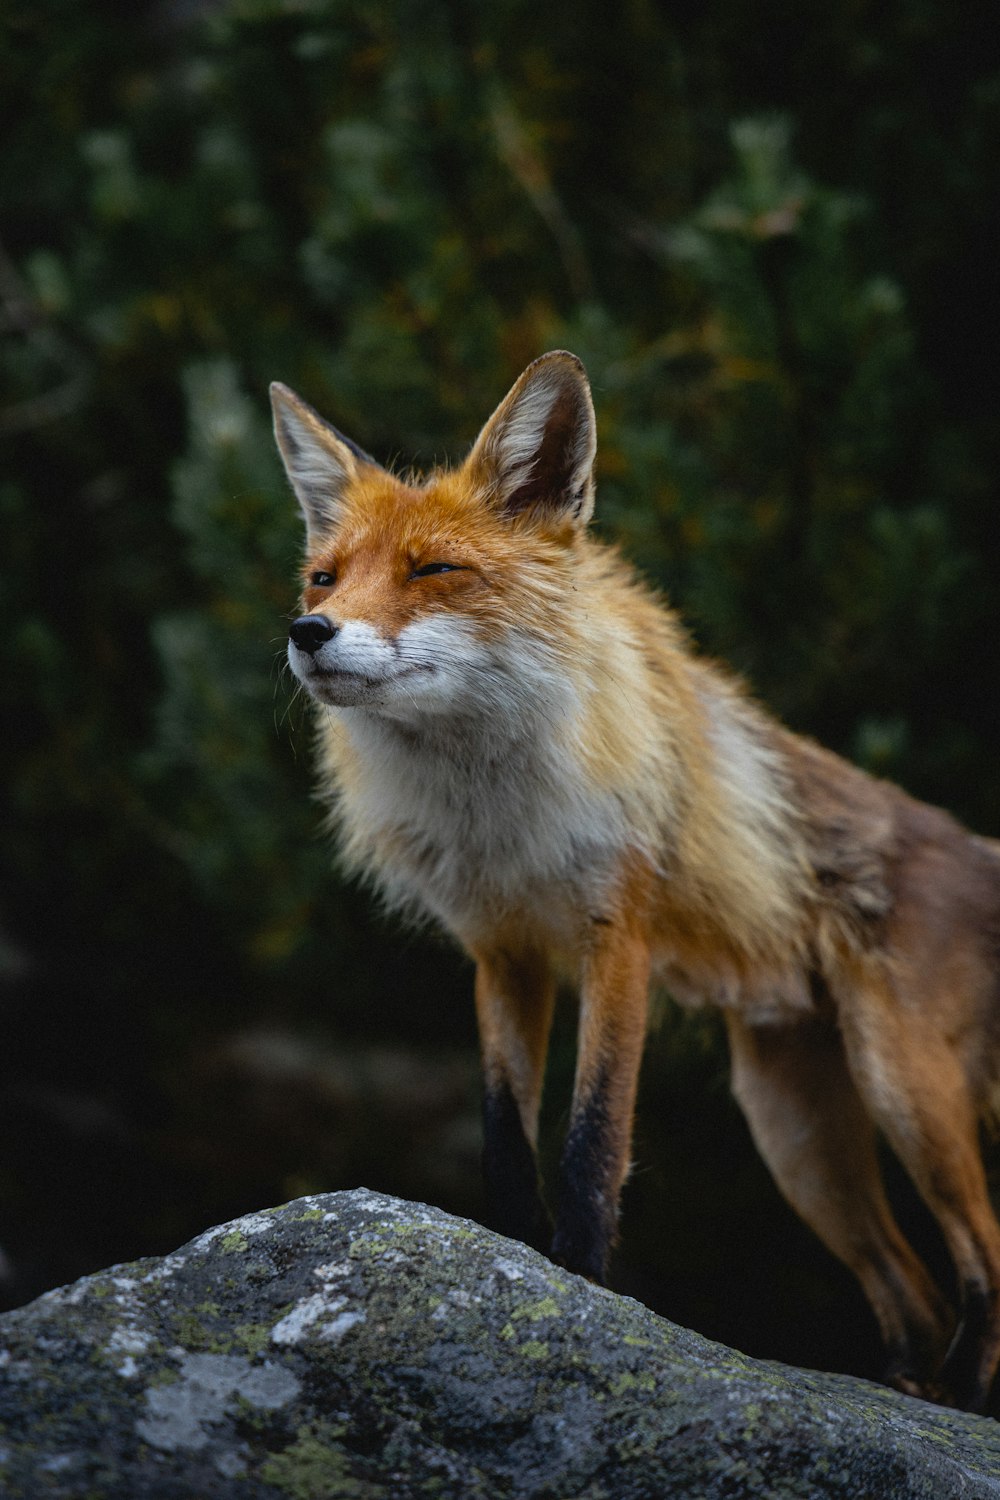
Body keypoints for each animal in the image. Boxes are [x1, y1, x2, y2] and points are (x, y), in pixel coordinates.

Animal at [269, 348, 1000, 1404]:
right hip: (798, 1140)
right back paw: (909, 1389)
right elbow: (504, 1133)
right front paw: (510, 1263)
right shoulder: (503, 954)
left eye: (434, 570)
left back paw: (967, 1393)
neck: (495, 814)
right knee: (913, 1290)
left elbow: (593, 1139)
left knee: (983, 1261)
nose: (308, 630)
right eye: (325, 578)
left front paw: (579, 1278)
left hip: (905, 1089)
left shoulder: (619, 938)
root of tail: (976, 846)